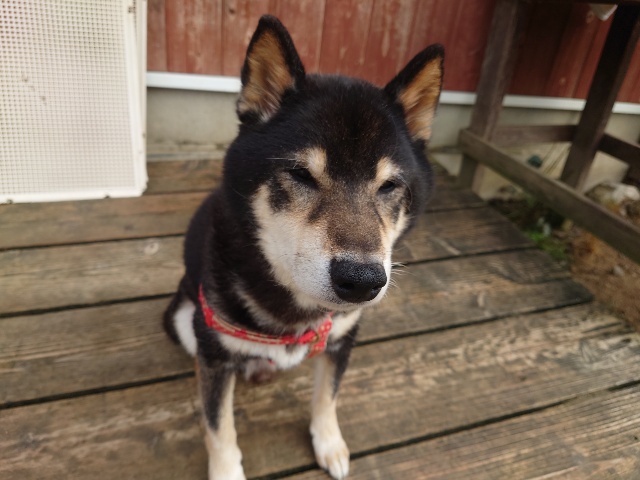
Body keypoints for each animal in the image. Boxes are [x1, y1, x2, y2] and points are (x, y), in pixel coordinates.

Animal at [163, 15, 443, 480]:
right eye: (300, 174)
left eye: (389, 186)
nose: (362, 280)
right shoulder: (214, 352)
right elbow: (218, 428)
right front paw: (225, 468)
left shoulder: (342, 339)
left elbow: (327, 398)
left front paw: (328, 442)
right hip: (184, 320)